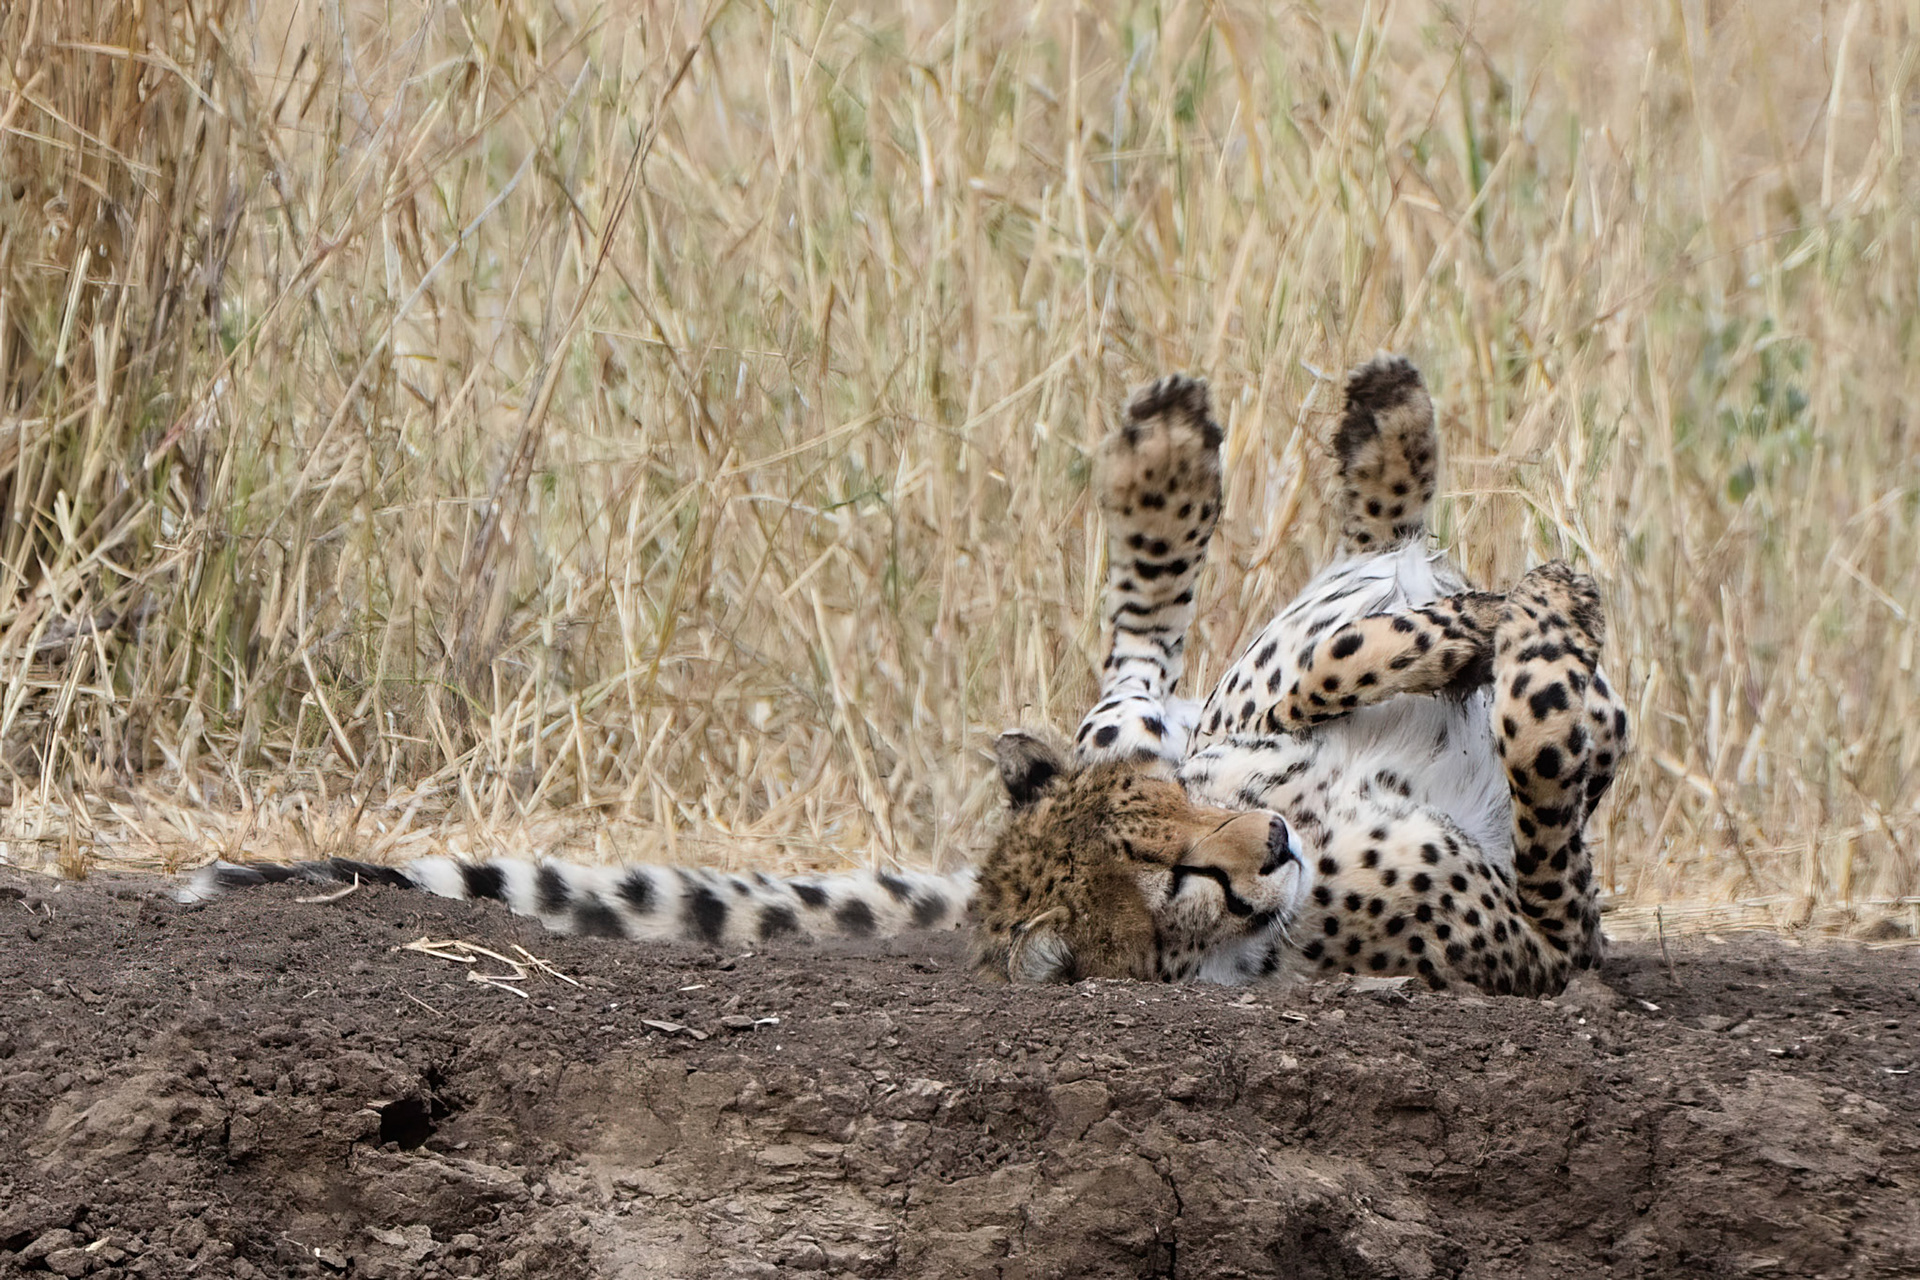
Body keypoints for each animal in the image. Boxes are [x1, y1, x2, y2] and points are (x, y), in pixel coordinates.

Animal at [181, 356, 1626, 999]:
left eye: (1178, 815)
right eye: (1169, 885)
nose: (1265, 844)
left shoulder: (1226, 746)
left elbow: (1348, 668)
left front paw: (1505, 614)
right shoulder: (1544, 939)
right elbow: (1552, 737)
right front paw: (1538, 638)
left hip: (1171, 693)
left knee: (1172, 661)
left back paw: (1297, 447)